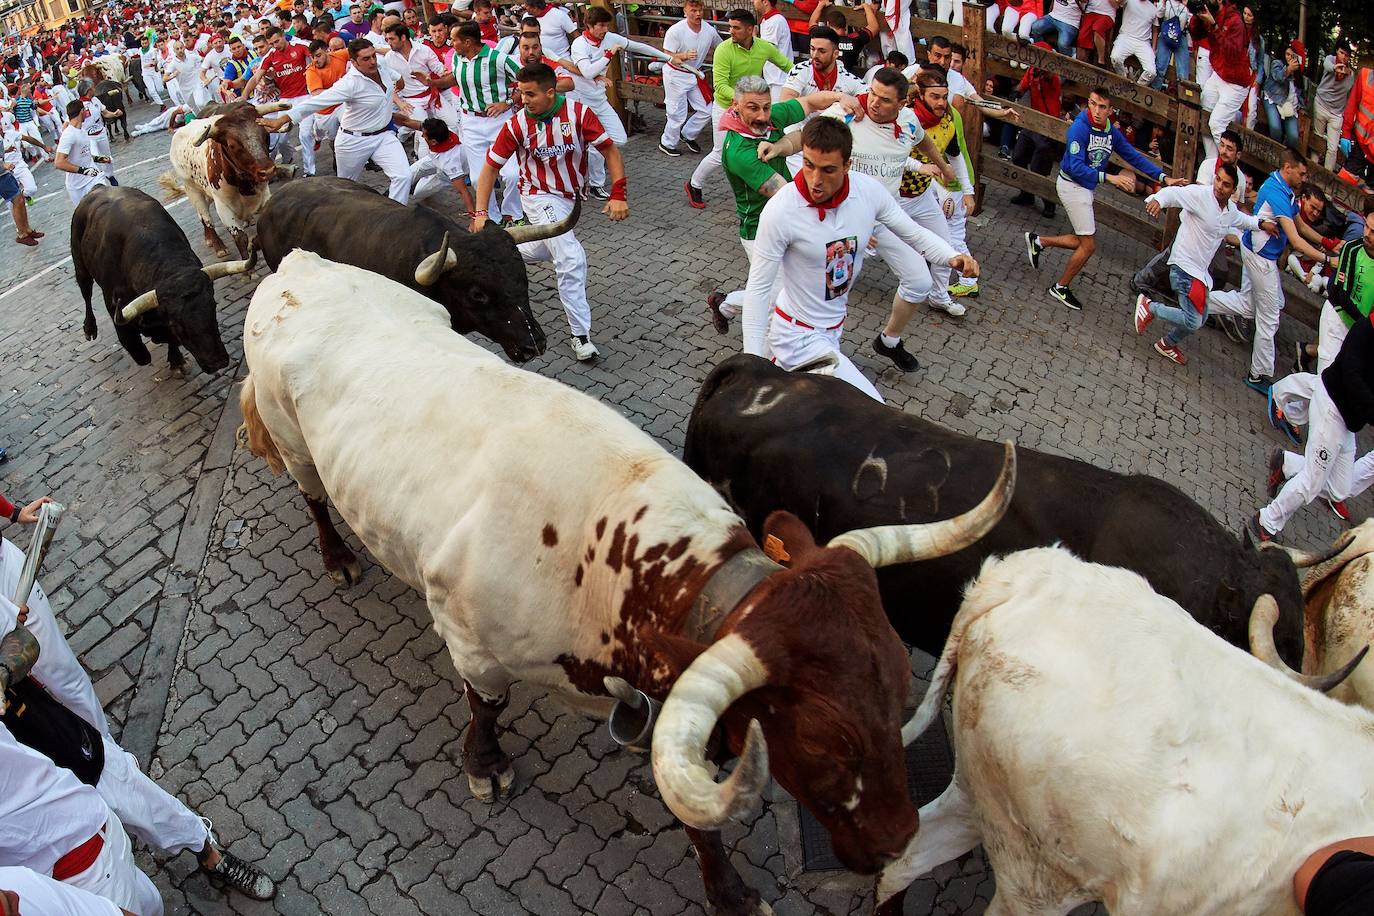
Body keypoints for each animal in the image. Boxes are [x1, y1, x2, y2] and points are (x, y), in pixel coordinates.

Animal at [158, 103, 287, 260]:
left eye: (266, 135)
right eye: (232, 145)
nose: (268, 171)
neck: (242, 182)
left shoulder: (265, 195)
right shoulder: (223, 206)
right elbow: (240, 237)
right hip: (192, 189)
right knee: (205, 217)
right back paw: (217, 245)